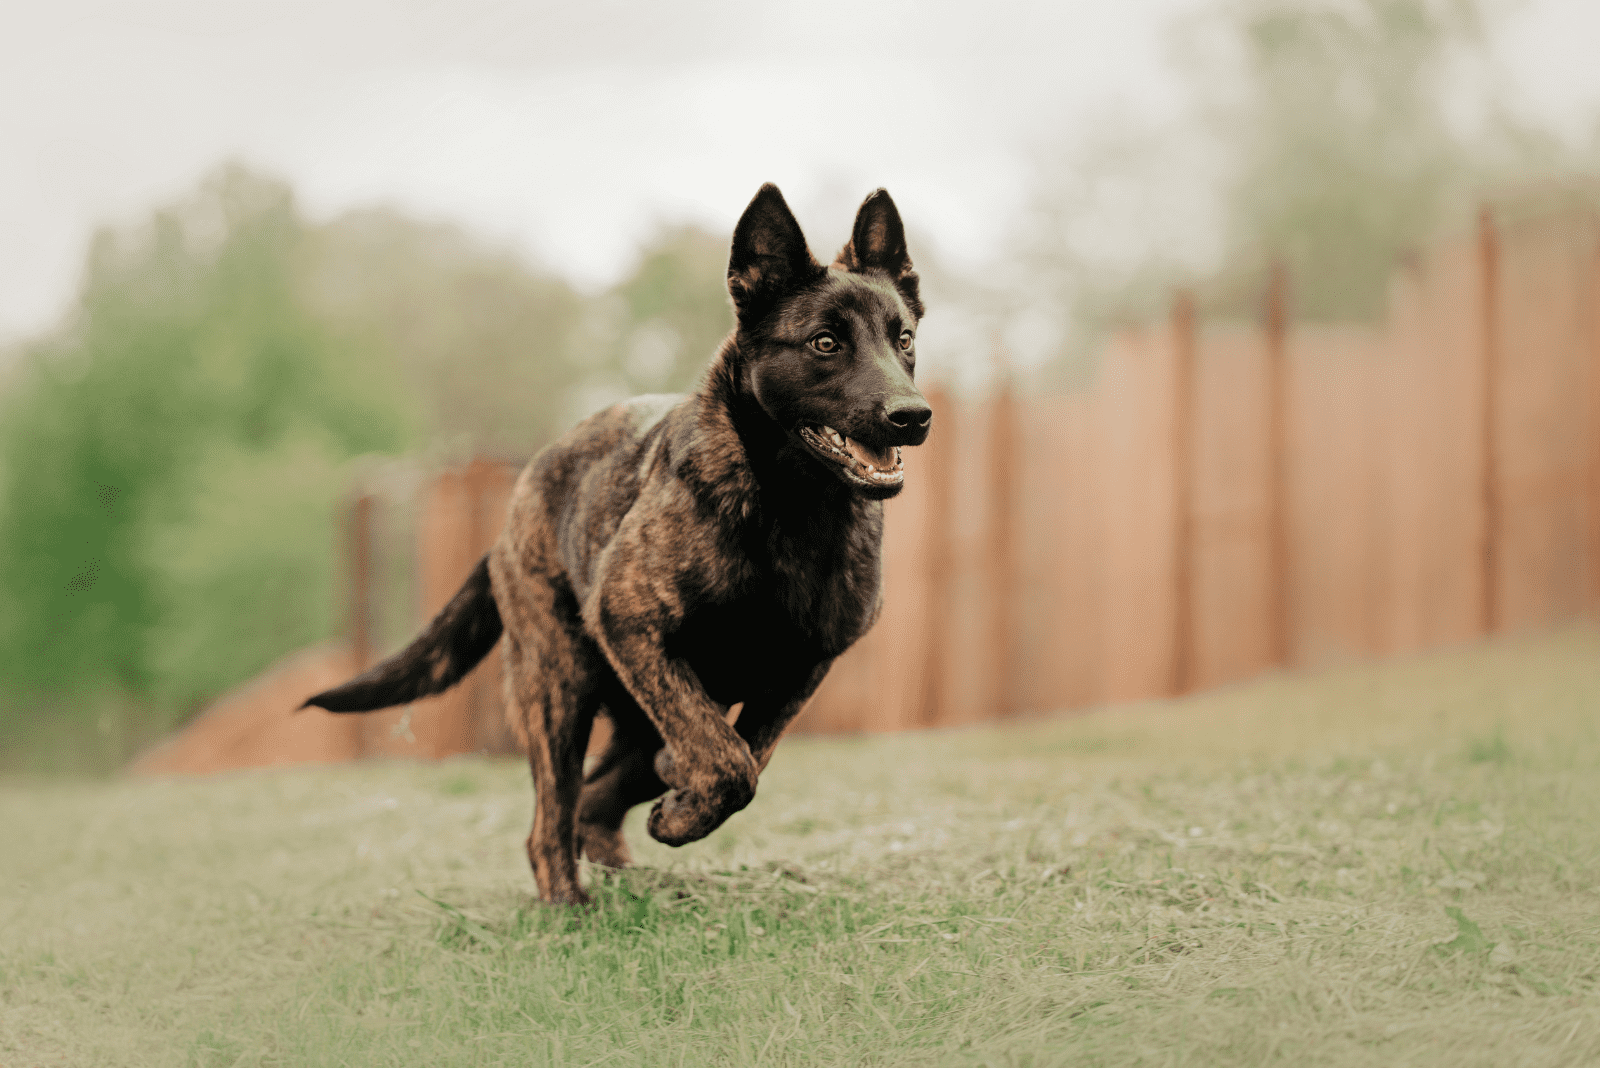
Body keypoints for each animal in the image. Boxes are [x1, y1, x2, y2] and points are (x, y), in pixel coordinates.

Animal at [304, 183, 934, 901]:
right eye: (825, 342)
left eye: (903, 339)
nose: (913, 416)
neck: (790, 508)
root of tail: (512, 515)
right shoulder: (634, 627)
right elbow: (727, 762)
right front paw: (683, 810)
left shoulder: (800, 669)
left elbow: (747, 754)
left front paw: (681, 806)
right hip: (560, 686)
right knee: (553, 819)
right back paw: (570, 907)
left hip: (627, 710)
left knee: (597, 799)